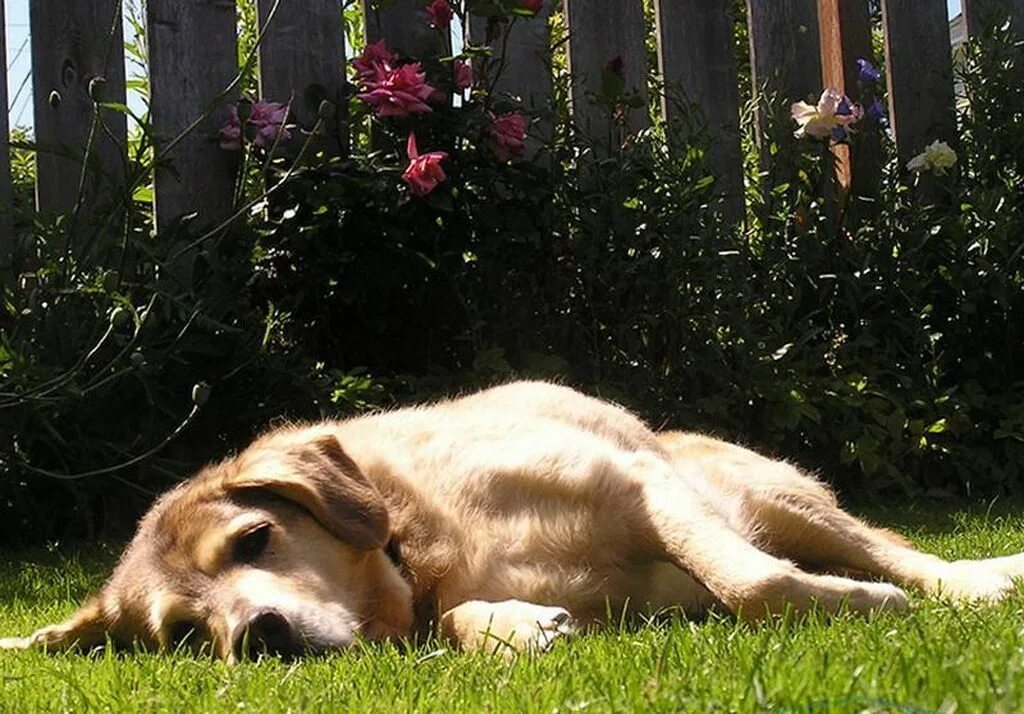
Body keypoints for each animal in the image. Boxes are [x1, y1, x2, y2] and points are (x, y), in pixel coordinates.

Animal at [2, 381, 1024, 659]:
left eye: (255, 539)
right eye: (183, 635)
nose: (257, 637)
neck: (420, 541)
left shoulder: (638, 485)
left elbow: (756, 581)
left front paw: (860, 603)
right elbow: (458, 621)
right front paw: (517, 627)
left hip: (772, 493)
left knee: (895, 551)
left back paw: (976, 579)